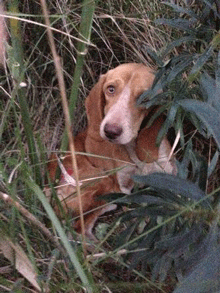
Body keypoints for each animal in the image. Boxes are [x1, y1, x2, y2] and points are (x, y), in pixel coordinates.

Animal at [46, 62, 177, 238]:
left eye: (145, 98)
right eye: (111, 89)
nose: (111, 131)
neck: (133, 149)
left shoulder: (171, 172)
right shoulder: (122, 187)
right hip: (104, 182)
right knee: (79, 228)